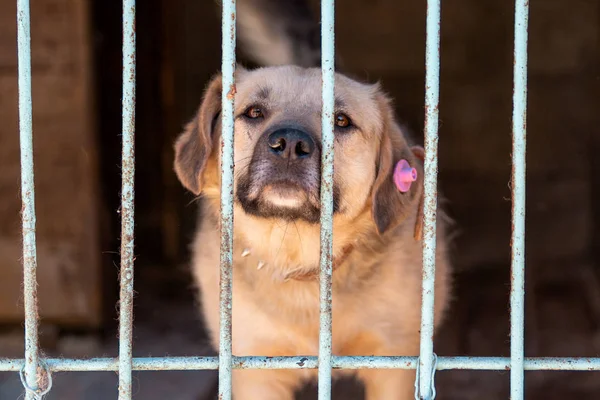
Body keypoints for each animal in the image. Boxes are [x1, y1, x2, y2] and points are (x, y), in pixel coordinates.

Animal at [172, 1, 450, 398]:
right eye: (254, 112)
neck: (299, 256)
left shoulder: (394, 365)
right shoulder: (255, 370)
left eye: (341, 121)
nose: (289, 144)